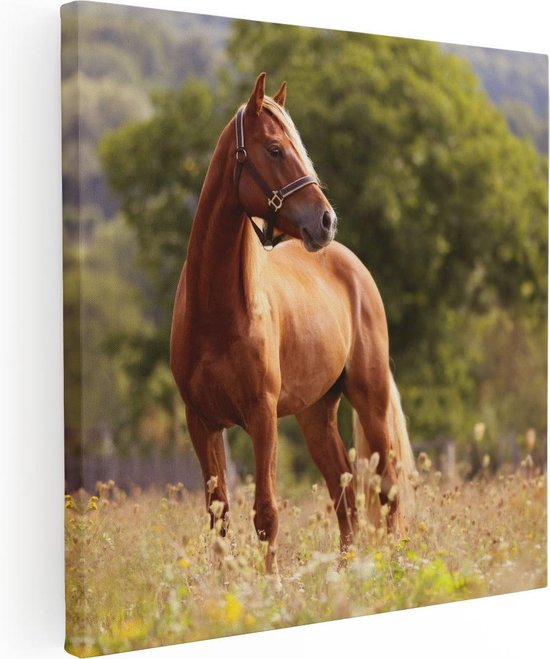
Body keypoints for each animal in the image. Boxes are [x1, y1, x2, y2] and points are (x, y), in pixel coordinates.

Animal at [170, 73, 415, 575]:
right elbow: (219, 517)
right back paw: (346, 574)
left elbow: (265, 513)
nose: (326, 221)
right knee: (345, 494)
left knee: (386, 490)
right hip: (315, 414)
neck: (216, 311)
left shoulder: (262, 416)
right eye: (275, 149)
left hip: (371, 398)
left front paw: (272, 585)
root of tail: (351, 265)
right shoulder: (201, 422)